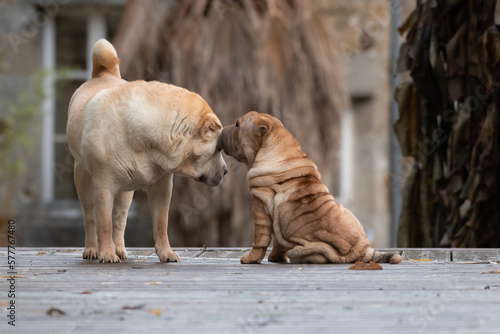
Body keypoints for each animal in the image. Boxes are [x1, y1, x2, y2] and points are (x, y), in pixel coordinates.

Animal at [67, 39, 227, 262]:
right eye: (218, 148)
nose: (226, 170)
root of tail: (103, 74)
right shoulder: (103, 186)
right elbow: (103, 224)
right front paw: (106, 253)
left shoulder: (162, 187)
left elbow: (161, 223)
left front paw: (166, 253)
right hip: (83, 179)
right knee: (91, 217)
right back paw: (93, 250)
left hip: (125, 193)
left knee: (119, 220)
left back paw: (119, 249)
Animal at [222, 112, 402, 266]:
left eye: (237, 125)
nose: (222, 130)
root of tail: (362, 252)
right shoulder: (278, 222)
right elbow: (278, 241)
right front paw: (275, 257)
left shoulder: (260, 205)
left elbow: (260, 239)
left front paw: (251, 258)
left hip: (303, 251)